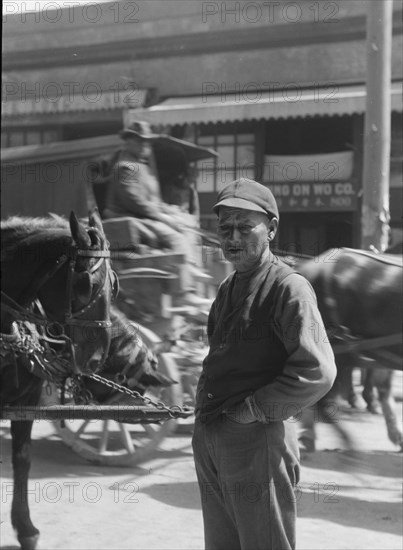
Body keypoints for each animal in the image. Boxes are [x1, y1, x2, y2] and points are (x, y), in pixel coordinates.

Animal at [0, 210, 118, 550]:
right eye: (85, 284)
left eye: (113, 284)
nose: (96, 358)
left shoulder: (25, 401)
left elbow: (23, 459)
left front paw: (26, 528)